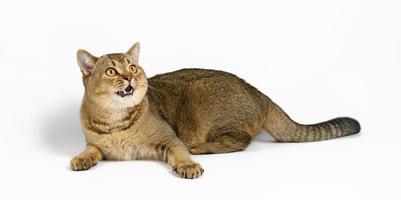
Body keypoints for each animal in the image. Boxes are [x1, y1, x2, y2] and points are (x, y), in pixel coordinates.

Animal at [70, 41, 360, 179]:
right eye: (111, 71)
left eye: (132, 67)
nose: (131, 78)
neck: (115, 121)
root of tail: (258, 92)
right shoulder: (95, 144)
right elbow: (91, 150)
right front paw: (81, 159)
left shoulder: (170, 139)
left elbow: (179, 153)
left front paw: (188, 164)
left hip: (199, 91)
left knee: (240, 141)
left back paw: (201, 147)